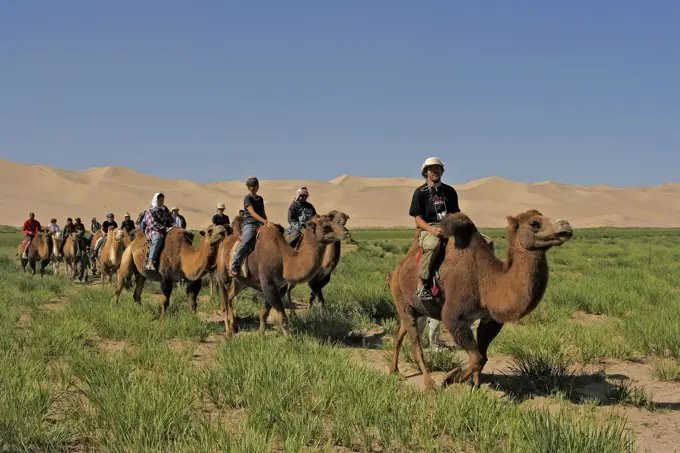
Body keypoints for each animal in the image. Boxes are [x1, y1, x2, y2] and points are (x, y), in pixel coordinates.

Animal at [215, 214, 348, 338]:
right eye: (325, 226)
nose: (346, 232)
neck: (285, 259)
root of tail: (224, 242)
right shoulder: (268, 285)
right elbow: (283, 318)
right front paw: (289, 340)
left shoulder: (280, 287)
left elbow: (264, 313)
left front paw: (261, 335)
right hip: (222, 275)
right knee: (224, 302)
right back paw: (228, 332)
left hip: (241, 281)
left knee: (230, 296)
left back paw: (234, 326)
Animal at [388, 209, 572, 388]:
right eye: (534, 223)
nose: (566, 225)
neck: (487, 283)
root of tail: (397, 270)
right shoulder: (454, 317)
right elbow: (477, 359)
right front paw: (450, 378)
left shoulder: (489, 320)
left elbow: (483, 357)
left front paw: (475, 388)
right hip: (402, 300)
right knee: (416, 347)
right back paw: (429, 385)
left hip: (418, 310)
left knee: (399, 335)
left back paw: (394, 370)